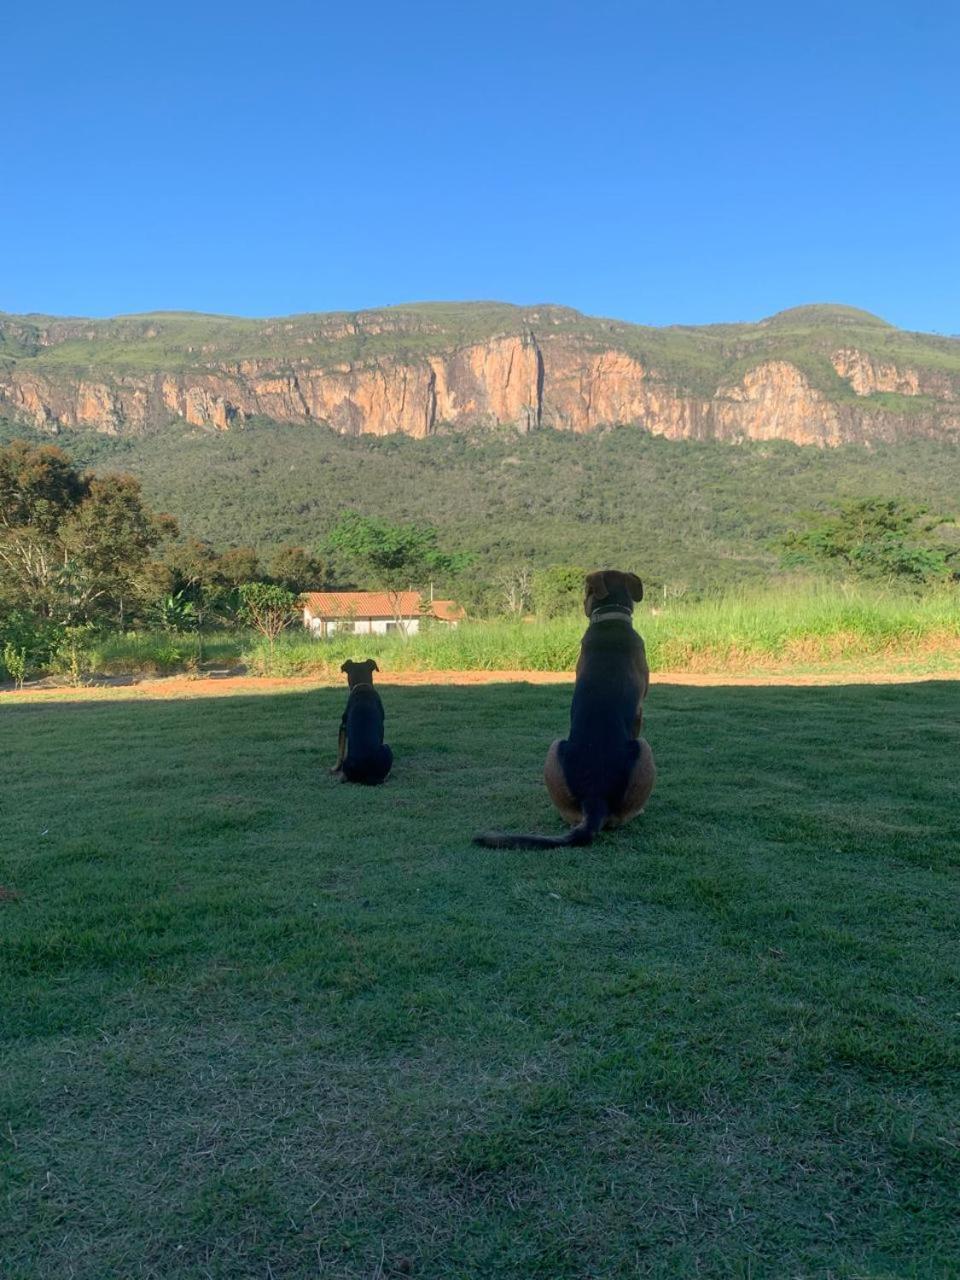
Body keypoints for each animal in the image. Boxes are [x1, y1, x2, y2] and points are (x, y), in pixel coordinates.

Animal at [476, 573, 660, 849]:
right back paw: (638, 811)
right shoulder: (639, 711)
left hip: (555, 749)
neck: (612, 618)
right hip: (642, 747)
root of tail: (595, 799)